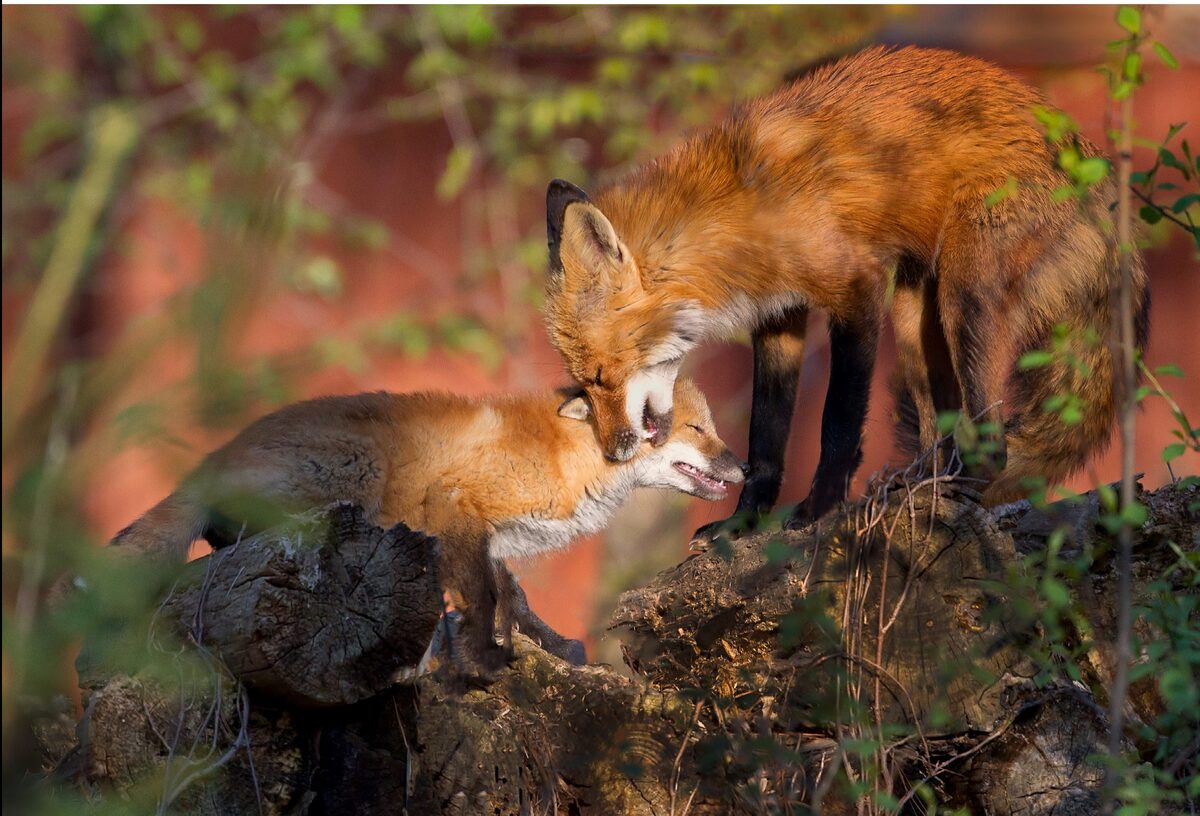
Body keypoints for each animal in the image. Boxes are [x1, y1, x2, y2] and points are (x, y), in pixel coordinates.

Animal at [107, 378, 745, 676]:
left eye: (712, 427)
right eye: (695, 429)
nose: (744, 467)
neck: (564, 460)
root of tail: (215, 457)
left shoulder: (488, 538)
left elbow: (513, 595)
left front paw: (551, 645)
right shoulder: (456, 509)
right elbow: (486, 596)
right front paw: (479, 656)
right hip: (362, 473)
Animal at [542, 45, 1149, 543]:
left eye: (601, 376)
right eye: (585, 382)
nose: (612, 451)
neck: (741, 214)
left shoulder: (856, 294)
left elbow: (836, 420)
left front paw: (819, 509)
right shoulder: (779, 318)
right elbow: (766, 441)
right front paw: (746, 522)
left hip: (964, 299)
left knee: (992, 436)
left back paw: (962, 487)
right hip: (915, 321)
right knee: (940, 427)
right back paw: (921, 486)